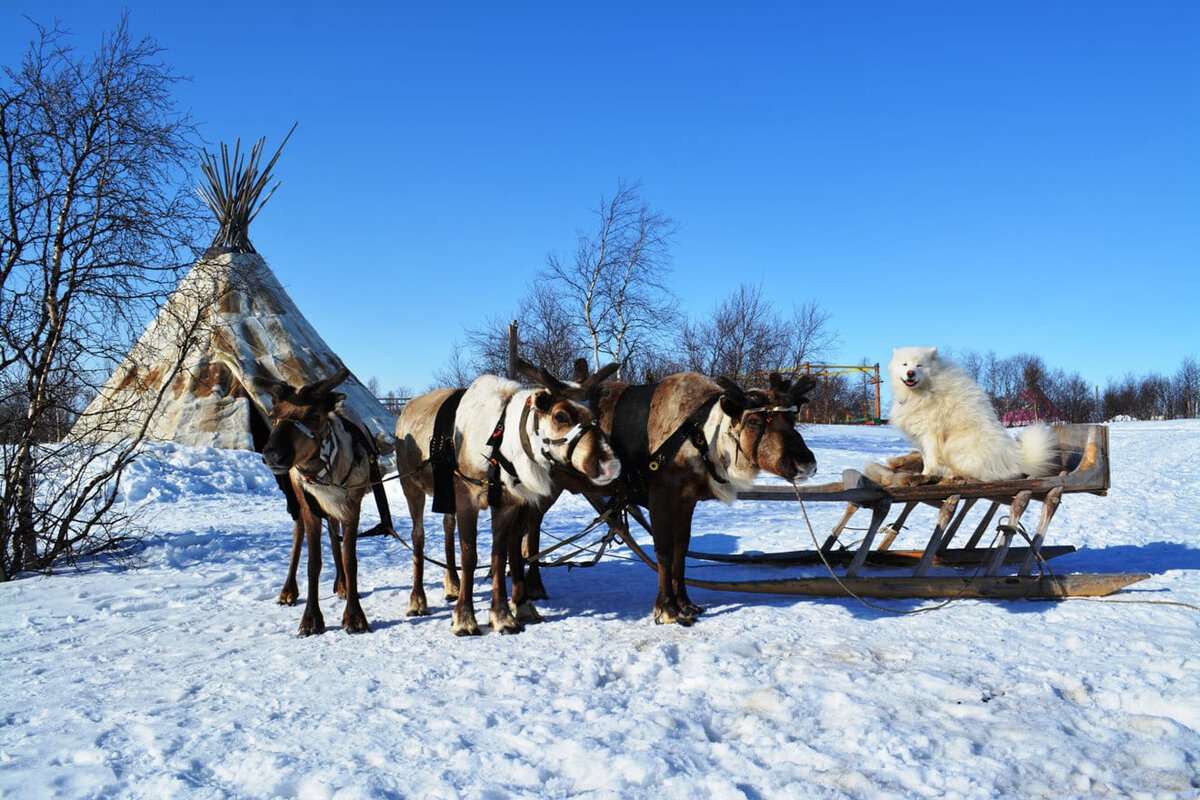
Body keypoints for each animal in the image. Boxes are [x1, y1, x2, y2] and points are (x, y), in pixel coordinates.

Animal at [883, 345, 1060, 482]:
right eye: (905, 364)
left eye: (919, 365)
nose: (910, 373)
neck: (923, 390)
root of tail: (1016, 459)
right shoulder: (921, 436)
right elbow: (926, 458)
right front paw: (924, 473)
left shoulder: (930, 433)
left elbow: (931, 460)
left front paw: (925, 475)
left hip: (955, 446)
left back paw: (953, 474)